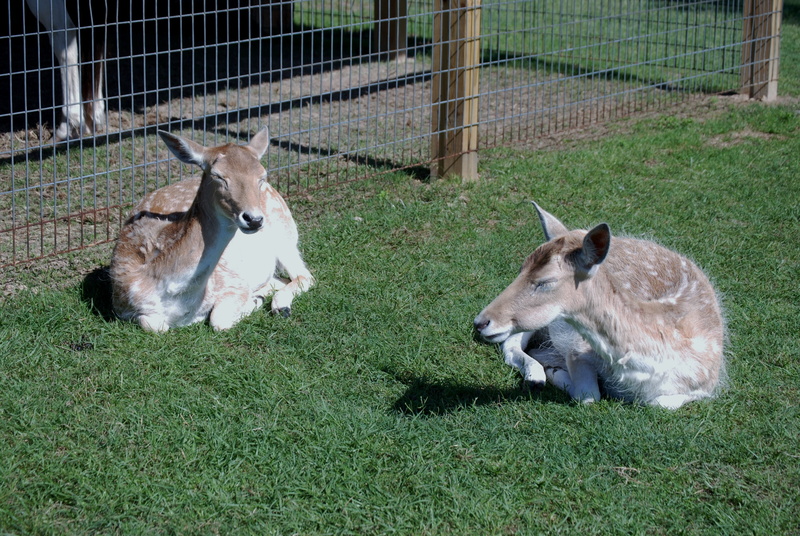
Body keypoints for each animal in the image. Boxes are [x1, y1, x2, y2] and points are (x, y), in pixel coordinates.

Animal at [109, 127, 314, 332]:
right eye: (218, 175)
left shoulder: (233, 282)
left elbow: (218, 320)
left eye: (262, 176)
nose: (254, 219)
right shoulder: (122, 308)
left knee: (305, 275)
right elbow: (153, 325)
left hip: (285, 234)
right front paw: (256, 298)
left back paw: (280, 306)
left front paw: (254, 301)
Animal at [473, 202, 725, 410]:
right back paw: (536, 376)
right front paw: (555, 372)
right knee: (511, 344)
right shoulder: (577, 346)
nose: (481, 322)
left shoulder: (707, 384)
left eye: (545, 281)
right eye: (520, 269)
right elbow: (588, 395)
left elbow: (660, 403)